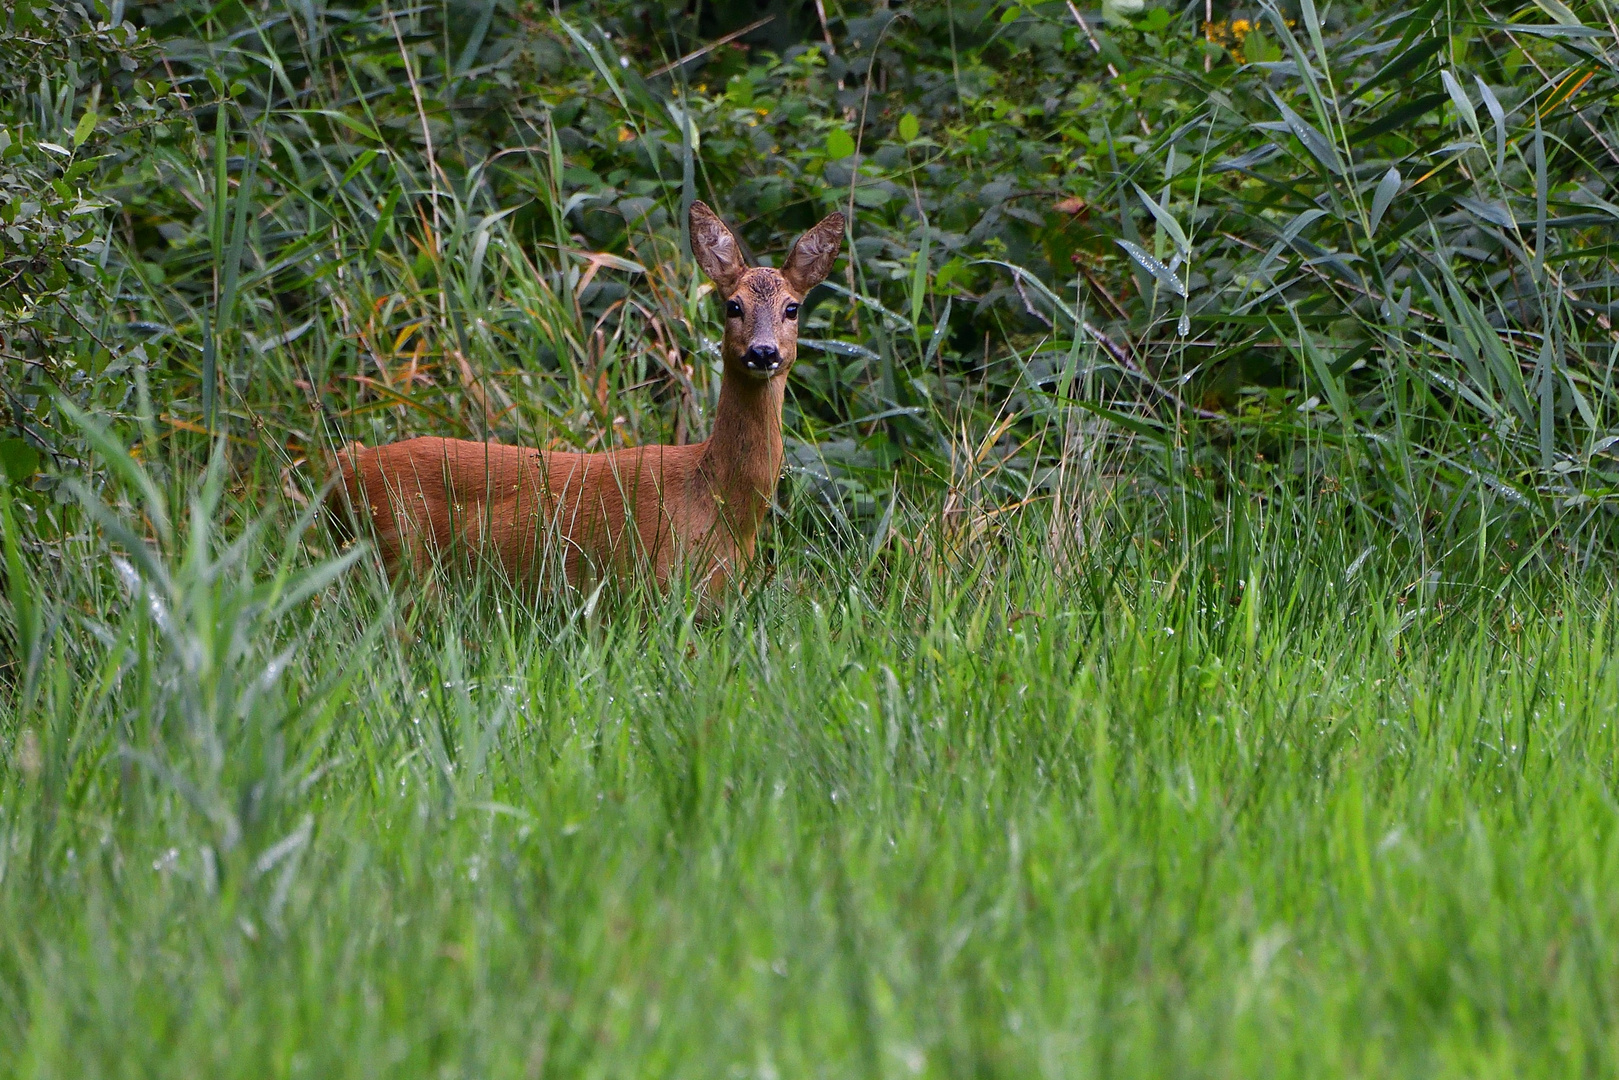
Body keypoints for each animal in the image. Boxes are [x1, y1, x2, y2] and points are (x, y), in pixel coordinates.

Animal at [322, 202, 841, 605]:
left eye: (792, 308)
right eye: (733, 305)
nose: (763, 352)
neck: (717, 501)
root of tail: (348, 466)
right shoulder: (651, 582)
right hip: (401, 553)